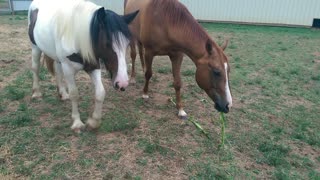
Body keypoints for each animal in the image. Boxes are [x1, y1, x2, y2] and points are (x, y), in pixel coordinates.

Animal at [29, 0, 139, 132]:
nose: (122, 83)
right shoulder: (68, 69)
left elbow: (100, 92)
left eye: (127, 44)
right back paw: (36, 93)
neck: (77, 38)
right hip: (35, 47)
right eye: (107, 44)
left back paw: (63, 94)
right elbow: (74, 94)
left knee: (57, 70)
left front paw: (93, 122)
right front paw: (77, 123)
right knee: (35, 68)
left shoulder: (93, 66)